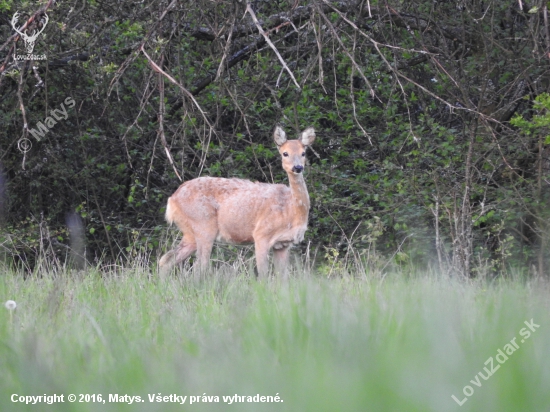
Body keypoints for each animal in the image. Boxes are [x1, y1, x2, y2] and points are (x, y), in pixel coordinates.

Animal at [157, 125, 316, 278]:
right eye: (285, 153)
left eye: (303, 153)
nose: (298, 167)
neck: (291, 210)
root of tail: (172, 199)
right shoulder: (261, 234)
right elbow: (263, 274)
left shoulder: (283, 244)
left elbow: (283, 277)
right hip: (203, 224)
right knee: (199, 266)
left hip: (189, 232)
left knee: (167, 259)